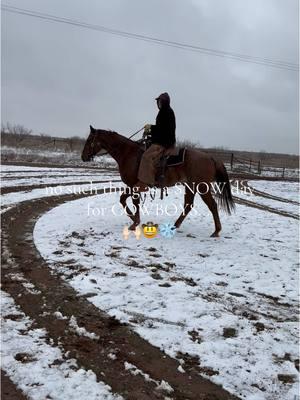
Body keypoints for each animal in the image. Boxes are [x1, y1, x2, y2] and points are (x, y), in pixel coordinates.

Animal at [81, 126, 234, 236]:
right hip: (190, 186)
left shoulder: (134, 185)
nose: (83, 157)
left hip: (202, 188)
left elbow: (130, 201)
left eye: (89, 140)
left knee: (212, 205)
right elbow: (126, 200)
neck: (128, 154)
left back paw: (216, 231)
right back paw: (175, 225)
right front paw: (135, 221)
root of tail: (211, 157)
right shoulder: (132, 186)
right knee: (188, 205)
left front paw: (134, 222)